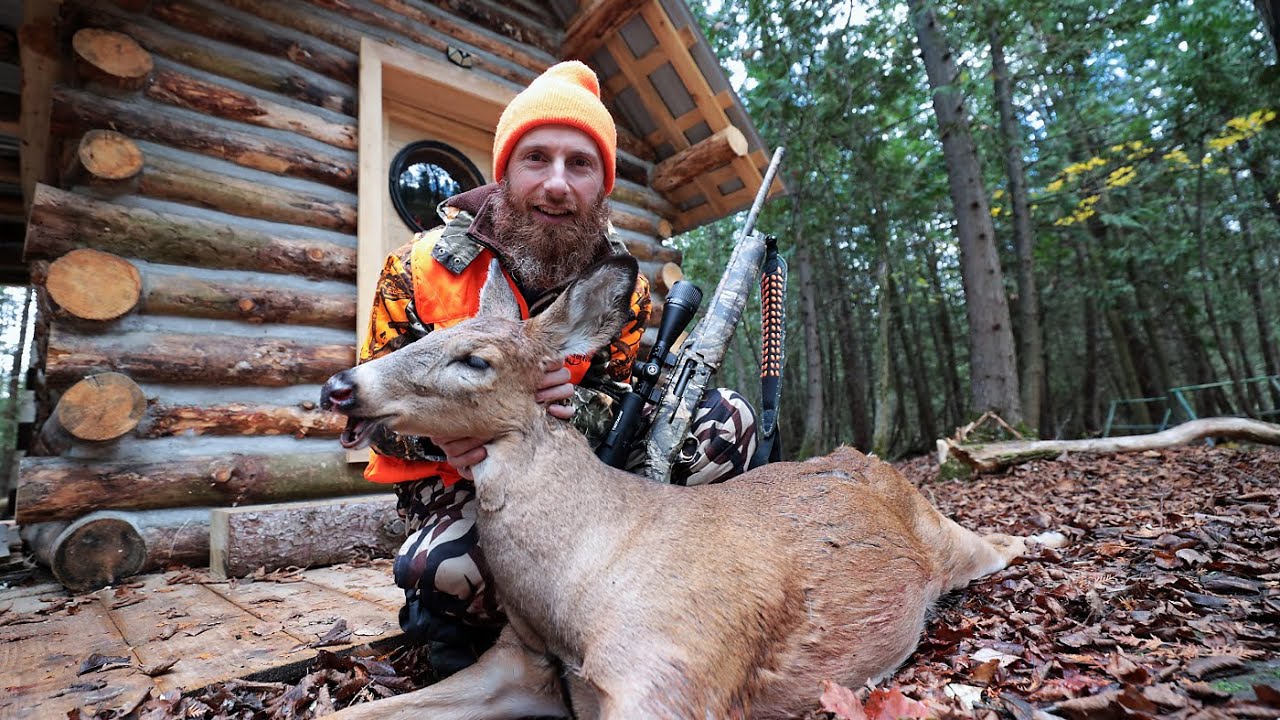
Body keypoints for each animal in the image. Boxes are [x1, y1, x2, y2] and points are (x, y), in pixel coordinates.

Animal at [320, 255, 1065, 719]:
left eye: (474, 359)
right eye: (432, 331)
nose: (339, 385)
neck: (575, 584)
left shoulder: (673, 669)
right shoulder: (520, 666)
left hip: (944, 536)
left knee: (995, 541)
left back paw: (1051, 534)